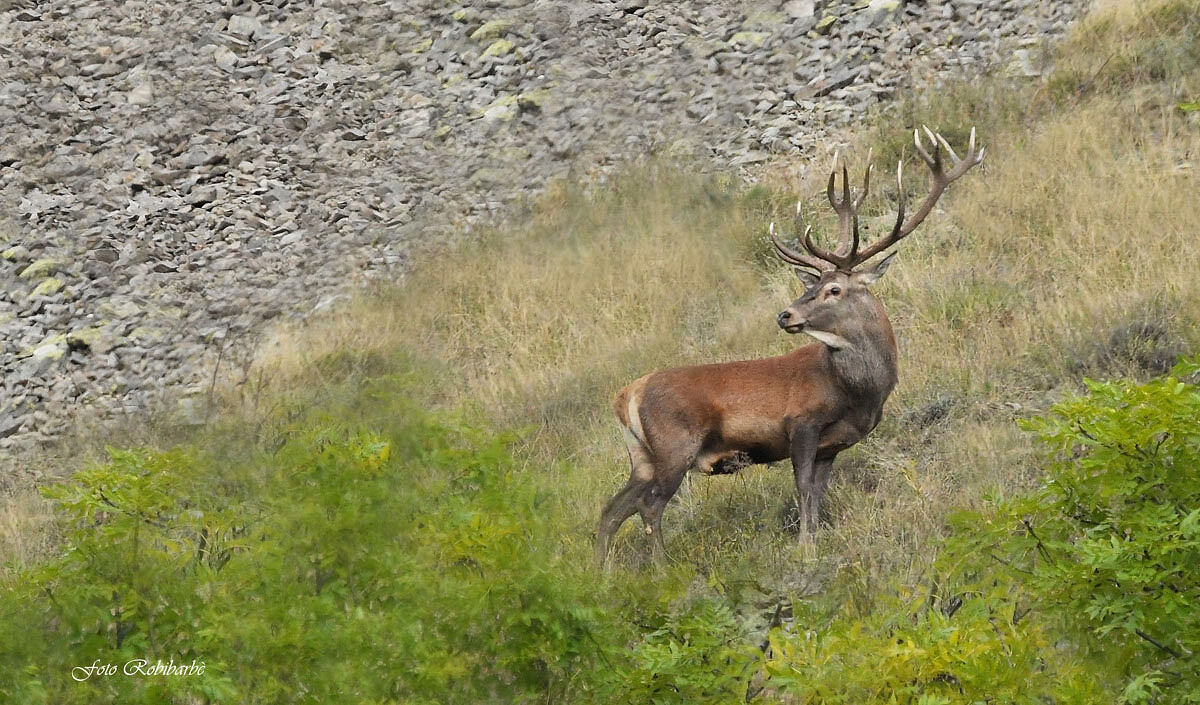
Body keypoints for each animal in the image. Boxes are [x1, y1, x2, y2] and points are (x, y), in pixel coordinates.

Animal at [595, 127, 984, 564]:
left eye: (833, 289)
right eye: (812, 286)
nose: (785, 315)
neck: (855, 393)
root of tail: (627, 394)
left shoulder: (832, 446)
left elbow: (817, 494)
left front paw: (813, 540)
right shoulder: (801, 423)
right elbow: (802, 489)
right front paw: (804, 549)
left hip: (641, 455)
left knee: (612, 510)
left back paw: (600, 570)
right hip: (675, 444)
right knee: (649, 505)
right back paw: (662, 567)